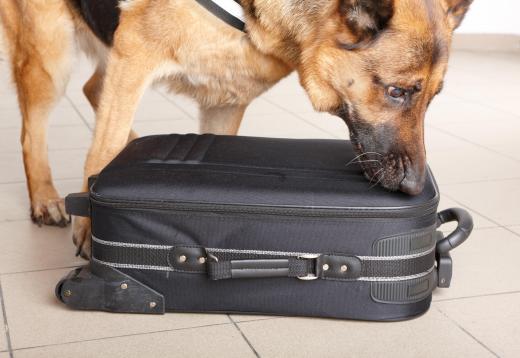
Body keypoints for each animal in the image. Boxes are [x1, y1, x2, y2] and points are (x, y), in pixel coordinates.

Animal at [0, 0, 472, 258]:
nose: (415, 186)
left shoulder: (224, 101)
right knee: (33, 131)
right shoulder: (135, 53)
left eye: (431, 99)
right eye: (396, 92)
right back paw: (45, 198)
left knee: (93, 88)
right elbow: (103, 143)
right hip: (49, 55)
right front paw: (88, 226)